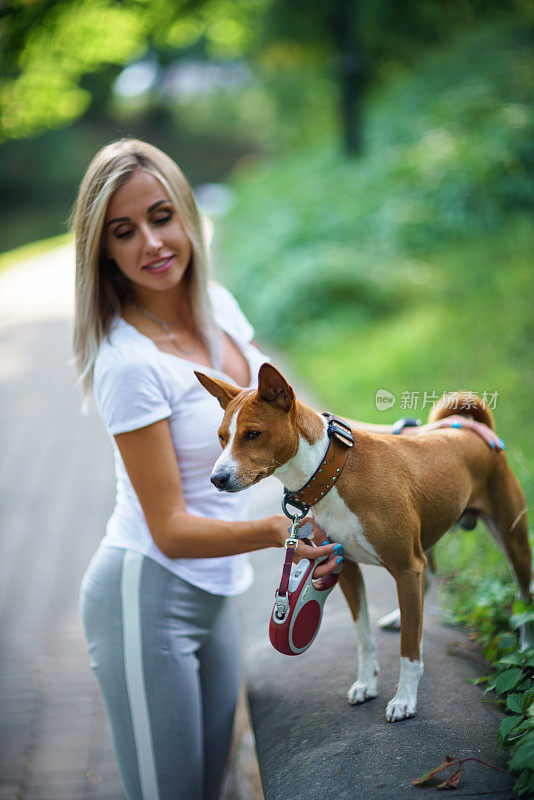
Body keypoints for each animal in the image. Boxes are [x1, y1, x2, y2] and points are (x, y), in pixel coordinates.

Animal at [195, 366, 532, 720]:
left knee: (524, 595)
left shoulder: (405, 565)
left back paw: (525, 649)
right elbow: (364, 637)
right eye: (221, 437)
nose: (217, 479)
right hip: (425, 543)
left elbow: (410, 649)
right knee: (427, 578)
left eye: (252, 434)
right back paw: (400, 616)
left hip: (512, 540)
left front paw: (404, 698)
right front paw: (367, 682)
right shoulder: (346, 566)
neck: (333, 474)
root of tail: (475, 432)